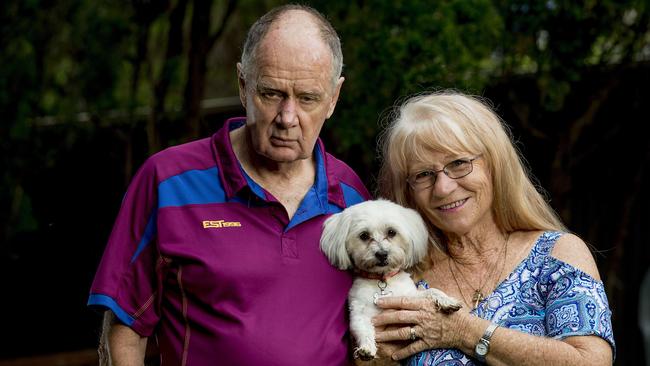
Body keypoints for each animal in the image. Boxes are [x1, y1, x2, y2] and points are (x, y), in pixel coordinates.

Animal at [320, 199, 460, 358]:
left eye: (391, 232)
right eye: (364, 235)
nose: (382, 254)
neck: (383, 279)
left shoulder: (410, 297)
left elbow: (432, 291)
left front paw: (447, 301)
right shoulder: (359, 312)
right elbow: (363, 329)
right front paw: (366, 348)